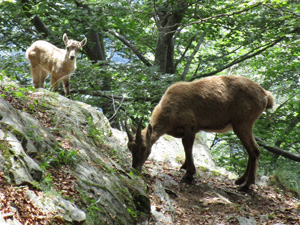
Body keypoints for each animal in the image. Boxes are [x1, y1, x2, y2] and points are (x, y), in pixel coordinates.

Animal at [126, 75, 274, 190]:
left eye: (144, 147)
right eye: (130, 148)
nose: (135, 168)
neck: (169, 112)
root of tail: (265, 95)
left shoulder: (190, 126)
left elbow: (188, 146)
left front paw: (189, 175)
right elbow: (185, 146)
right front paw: (184, 167)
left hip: (242, 122)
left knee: (254, 150)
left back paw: (246, 185)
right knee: (252, 150)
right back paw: (240, 180)